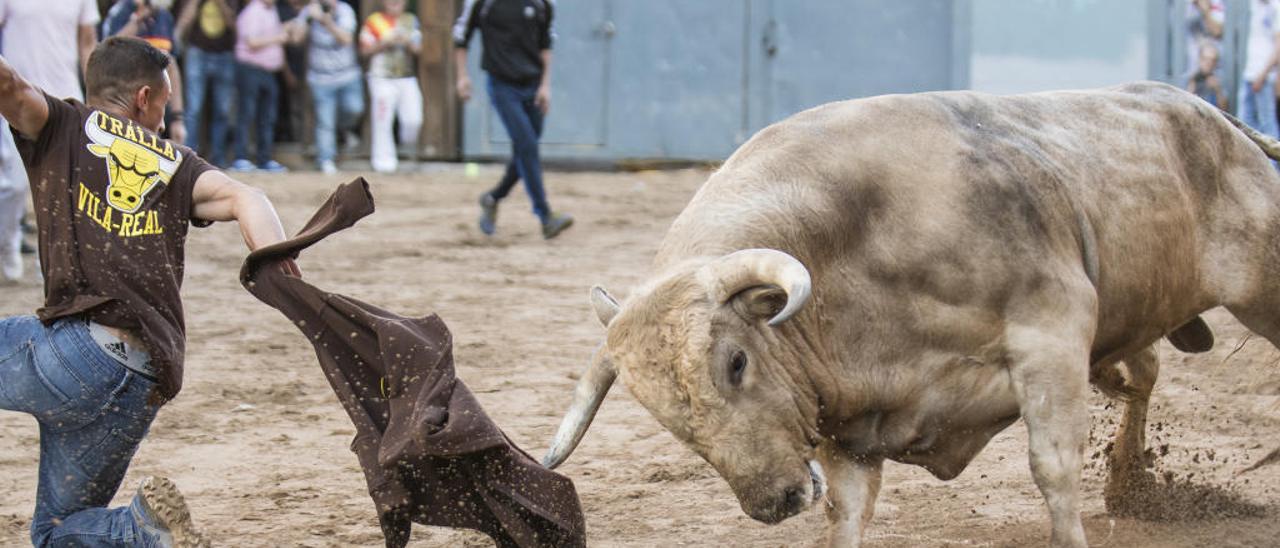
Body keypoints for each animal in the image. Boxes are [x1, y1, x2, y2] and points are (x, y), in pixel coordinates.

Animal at [540, 82, 1280, 548]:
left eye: (736, 361)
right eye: (663, 414)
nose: (771, 504)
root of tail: (1214, 118)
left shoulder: (1052, 337)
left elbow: (1053, 468)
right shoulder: (852, 430)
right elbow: (845, 515)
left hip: (1258, 293)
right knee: (1143, 374)